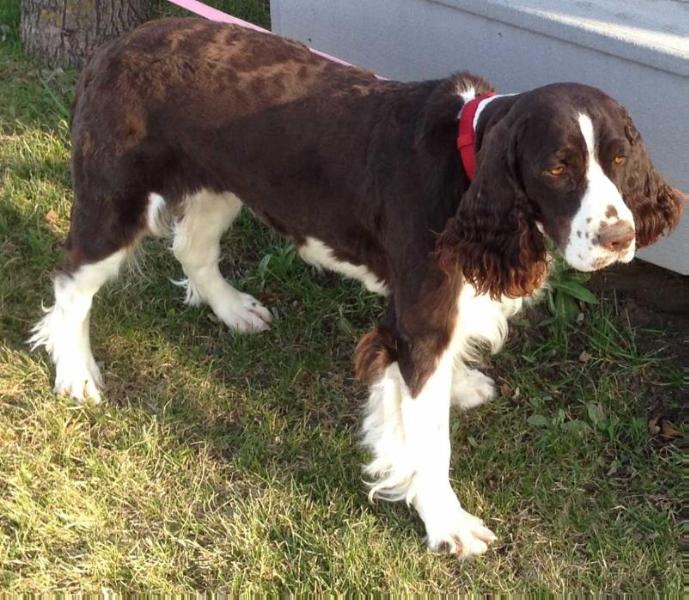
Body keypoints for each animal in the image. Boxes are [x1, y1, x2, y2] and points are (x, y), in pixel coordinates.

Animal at [28, 15, 684, 556]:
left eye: (620, 159)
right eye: (556, 168)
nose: (620, 237)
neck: (468, 166)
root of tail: (113, 46)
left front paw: (458, 388)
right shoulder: (420, 316)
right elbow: (430, 440)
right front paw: (448, 525)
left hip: (220, 183)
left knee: (192, 248)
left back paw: (235, 311)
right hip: (115, 199)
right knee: (71, 280)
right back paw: (77, 374)